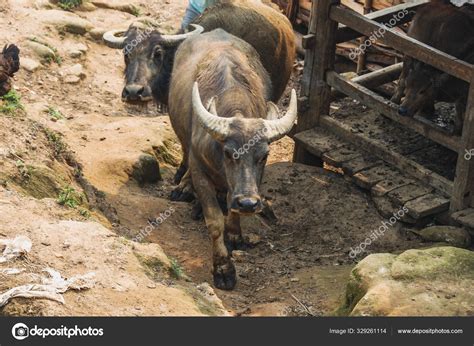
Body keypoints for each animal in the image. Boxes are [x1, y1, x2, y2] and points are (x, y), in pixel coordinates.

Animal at [168, 28, 296, 290]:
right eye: (229, 153)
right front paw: (223, 270)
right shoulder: (200, 170)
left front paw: (235, 234)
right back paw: (183, 188)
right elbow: (215, 221)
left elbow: (230, 206)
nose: (248, 203)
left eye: (264, 156)